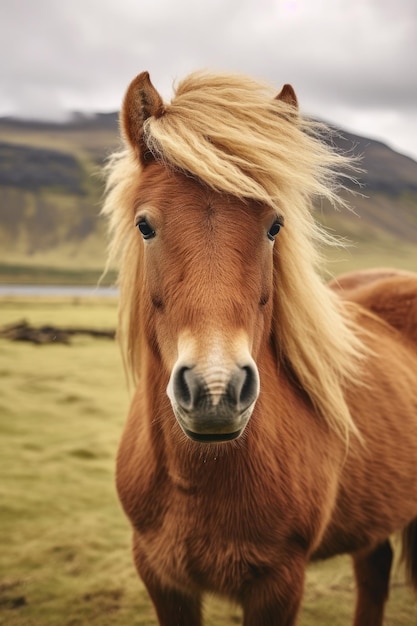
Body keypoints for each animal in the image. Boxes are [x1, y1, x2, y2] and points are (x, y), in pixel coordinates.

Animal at [101, 70, 417, 620]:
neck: (199, 478)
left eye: (274, 225)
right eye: (145, 225)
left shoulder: (278, 582)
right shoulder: (161, 577)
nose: (215, 391)